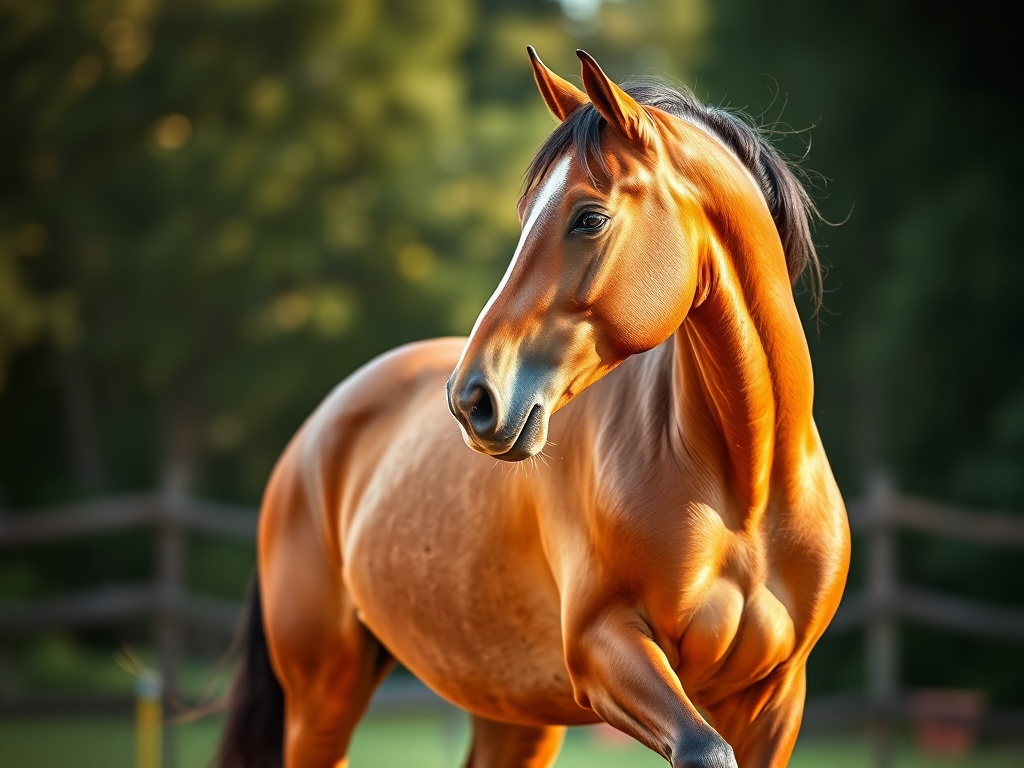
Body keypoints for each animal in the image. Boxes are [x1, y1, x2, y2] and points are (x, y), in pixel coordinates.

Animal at [216, 48, 850, 768]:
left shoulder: (776, 699)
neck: (745, 489)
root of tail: (314, 436)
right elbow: (704, 750)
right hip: (323, 699)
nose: (472, 399)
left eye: (589, 218)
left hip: (514, 712)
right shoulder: (603, 649)